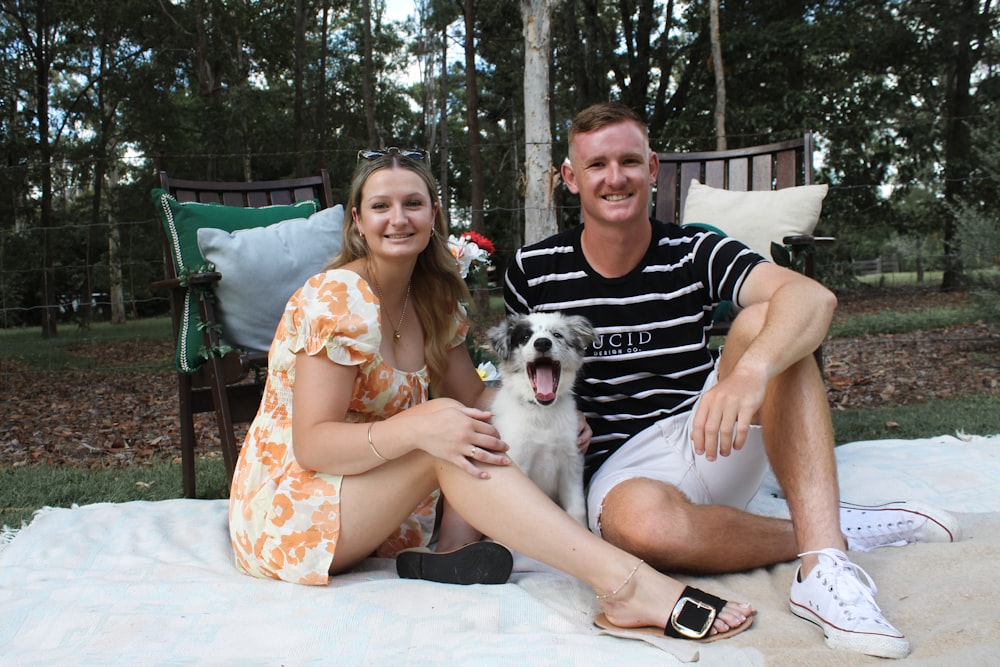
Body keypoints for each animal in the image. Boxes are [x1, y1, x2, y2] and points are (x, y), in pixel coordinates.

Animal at [486, 316, 592, 524]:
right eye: (525, 337)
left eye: (557, 334)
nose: (542, 343)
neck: (542, 412)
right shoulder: (518, 462)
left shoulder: (572, 462)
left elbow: (577, 510)